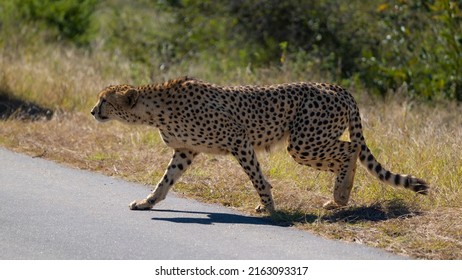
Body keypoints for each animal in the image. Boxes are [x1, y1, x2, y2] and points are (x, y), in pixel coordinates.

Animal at [91, 76, 430, 212]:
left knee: (351, 149)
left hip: (303, 143)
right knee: (349, 151)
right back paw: (337, 201)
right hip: (309, 142)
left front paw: (269, 208)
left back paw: (340, 196)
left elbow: (256, 177)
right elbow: (165, 181)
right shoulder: (186, 151)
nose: (93, 111)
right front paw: (147, 202)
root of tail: (335, 86)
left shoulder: (239, 140)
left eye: (105, 99)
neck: (156, 109)